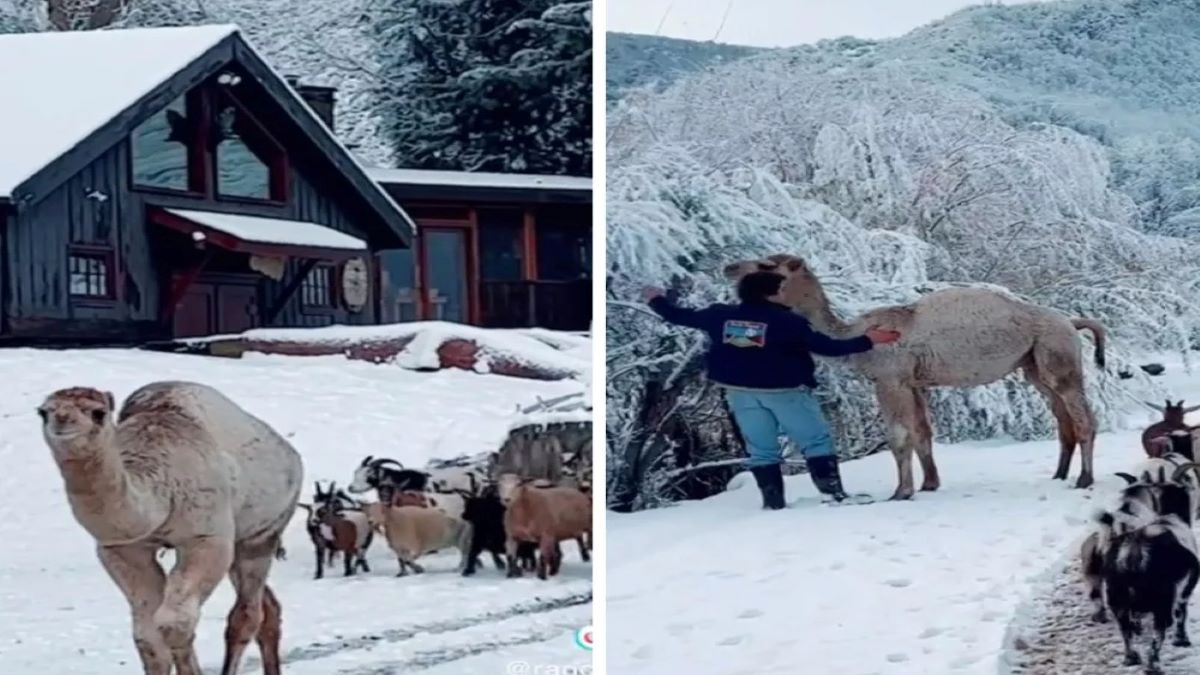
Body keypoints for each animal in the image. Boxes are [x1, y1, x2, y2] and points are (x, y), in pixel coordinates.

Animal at [41, 381, 304, 667]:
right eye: (43, 411)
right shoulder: (121, 547)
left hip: (262, 533)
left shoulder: (206, 538)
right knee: (267, 607)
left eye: (98, 412)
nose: (62, 419)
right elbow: (148, 637)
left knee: (246, 614)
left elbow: (174, 624)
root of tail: (292, 456)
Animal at [720, 254, 1104, 497]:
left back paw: (1084, 479)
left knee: (1084, 417)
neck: (856, 336)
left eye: (767, 264)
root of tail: (1071, 322)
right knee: (1063, 419)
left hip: (1059, 356)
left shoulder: (890, 380)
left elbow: (899, 435)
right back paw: (1058, 475)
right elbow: (922, 433)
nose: (729, 267)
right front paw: (929, 484)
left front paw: (901, 491)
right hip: (1034, 365)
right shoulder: (913, 382)